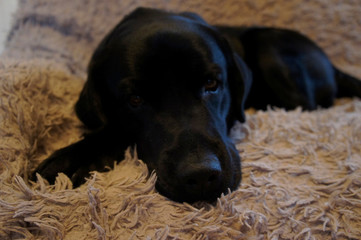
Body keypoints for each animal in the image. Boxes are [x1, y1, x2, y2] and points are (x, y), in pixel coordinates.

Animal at [32, 7, 358, 202]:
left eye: (212, 84)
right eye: (135, 99)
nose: (201, 175)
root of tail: (333, 65)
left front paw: (74, 158)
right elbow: (112, 128)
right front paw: (74, 156)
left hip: (270, 48)